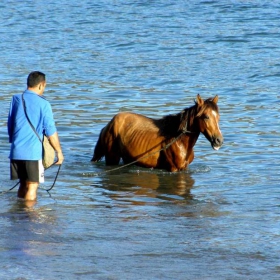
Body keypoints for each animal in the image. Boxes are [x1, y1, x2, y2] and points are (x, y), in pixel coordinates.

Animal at [92, 94, 223, 172]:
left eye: (218, 117)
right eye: (206, 117)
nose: (219, 141)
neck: (179, 140)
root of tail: (109, 123)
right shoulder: (173, 169)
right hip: (112, 157)